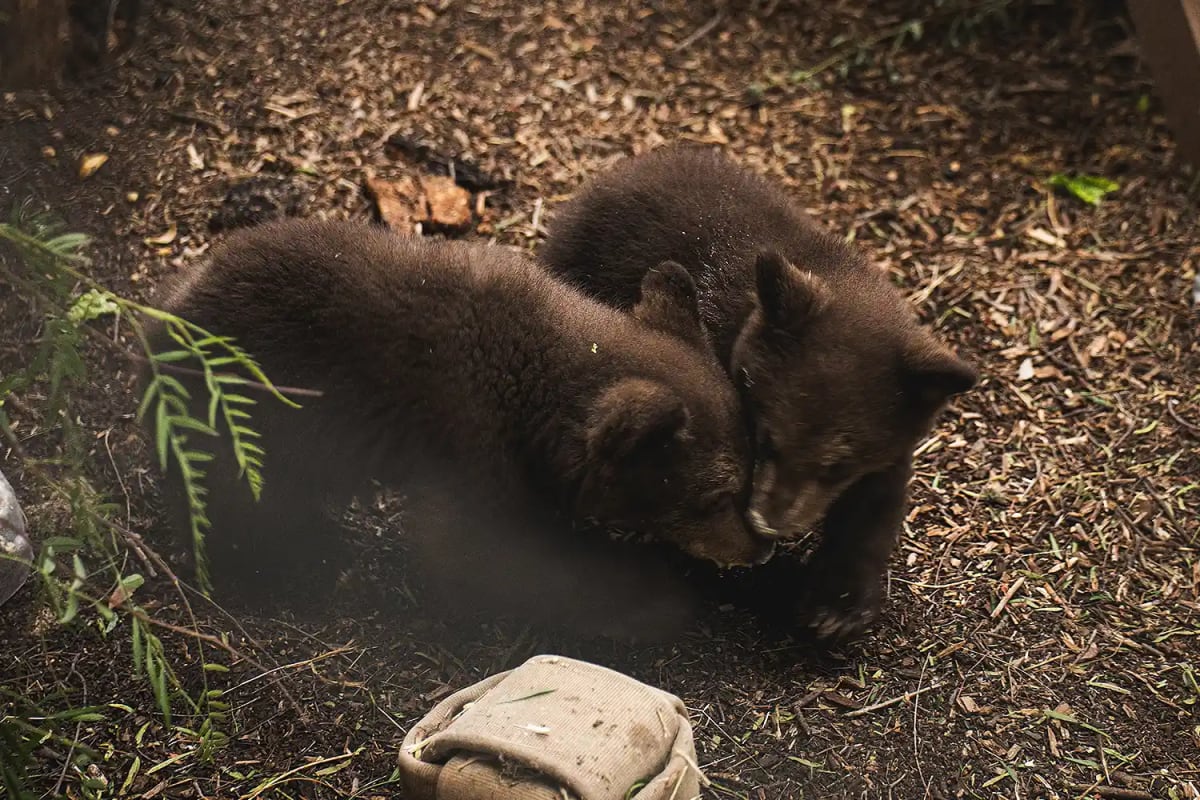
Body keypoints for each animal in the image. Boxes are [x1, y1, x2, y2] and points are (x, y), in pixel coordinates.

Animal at [142, 218, 773, 637]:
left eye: (750, 467)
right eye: (714, 496)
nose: (761, 547)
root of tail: (164, 308)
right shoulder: (468, 442)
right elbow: (481, 553)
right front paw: (648, 597)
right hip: (245, 424)